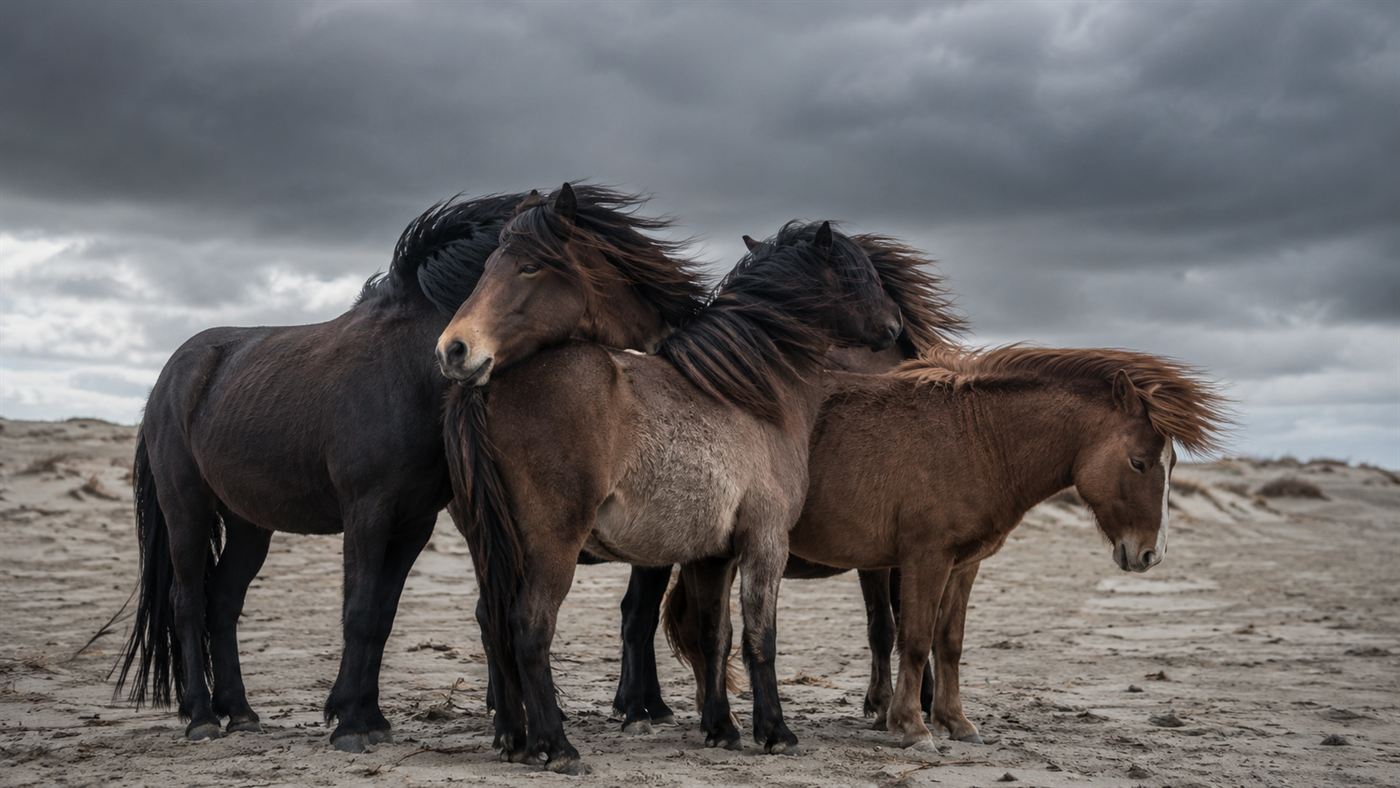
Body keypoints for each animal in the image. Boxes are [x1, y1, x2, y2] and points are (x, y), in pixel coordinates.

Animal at [115, 185, 707, 753]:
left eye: (529, 266)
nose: (666, 334)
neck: (409, 373)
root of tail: (173, 373)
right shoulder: (367, 514)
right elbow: (358, 612)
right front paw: (350, 727)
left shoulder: (413, 523)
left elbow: (380, 617)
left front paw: (368, 717)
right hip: (186, 509)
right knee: (188, 601)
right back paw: (200, 717)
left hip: (248, 524)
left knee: (223, 602)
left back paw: (239, 712)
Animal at [438, 219, 904, 773]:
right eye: (862, 273)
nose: (895, 324)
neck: (753, 391)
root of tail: (485, 387)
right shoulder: (765, 542)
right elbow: (760, 637)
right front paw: (775, 731)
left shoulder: (711, 556)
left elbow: (715, 637)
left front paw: (721, 729)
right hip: (552, 545)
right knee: (530, 629)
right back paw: (557, 746)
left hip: (494, 549)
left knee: (495, 627)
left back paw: (513, 738)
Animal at [665, 345, 1229, 751]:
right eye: (1138, 462)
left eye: (1169, 465)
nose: (1150, 554)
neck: (975, 440)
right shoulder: (925, 560)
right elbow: (915, 640)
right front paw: (911, 727)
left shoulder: (963, 566)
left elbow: (948, 643)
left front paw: (956, 721)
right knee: (711, 635)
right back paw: (722, 724)